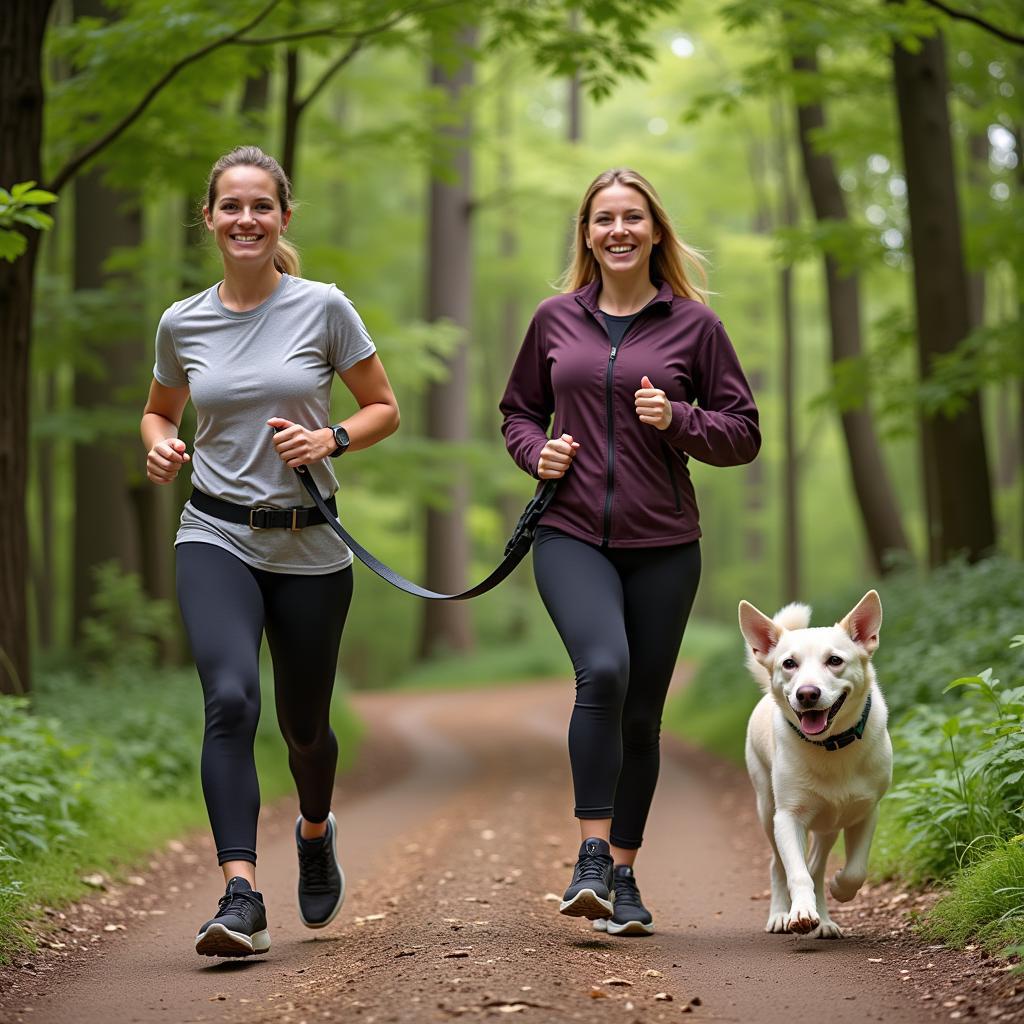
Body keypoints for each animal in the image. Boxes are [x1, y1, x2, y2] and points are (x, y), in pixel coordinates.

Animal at [741, 593, 892, 937]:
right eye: (789, 663)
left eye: (834, 660)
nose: (807, 693)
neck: (831, 745)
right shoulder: (788, 817)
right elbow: (797, 873)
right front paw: (800, 913)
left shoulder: (868, 811)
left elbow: (855, 870)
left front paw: (839, 889)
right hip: (766, 807)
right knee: (779, 865)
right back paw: (780, 914)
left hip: (827, 826)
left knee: (817, 866)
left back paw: (824, 918)